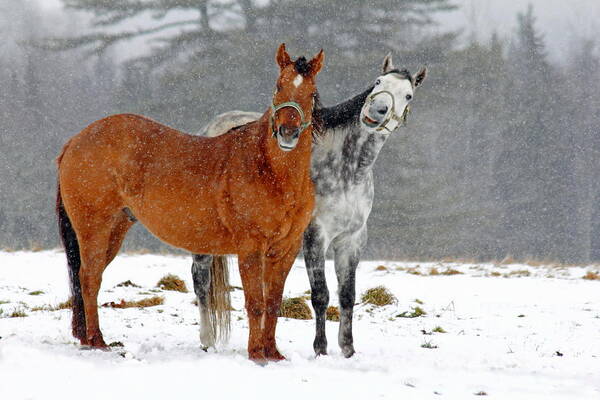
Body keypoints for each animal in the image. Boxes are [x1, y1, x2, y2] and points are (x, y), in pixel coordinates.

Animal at [57, 44, 324, 362]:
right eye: (278, 87)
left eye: (311, 93)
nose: (287, 133)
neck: (268, 170)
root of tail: (75, 140)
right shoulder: (250, 247)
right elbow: (256, 302)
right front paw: (256, 355)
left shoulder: (285, 250)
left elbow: (272, 302)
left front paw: (273, 354)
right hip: (93, 229)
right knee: (89, 278)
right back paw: (98, 341)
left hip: (115, 229)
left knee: (88, 276)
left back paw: (87, 338)